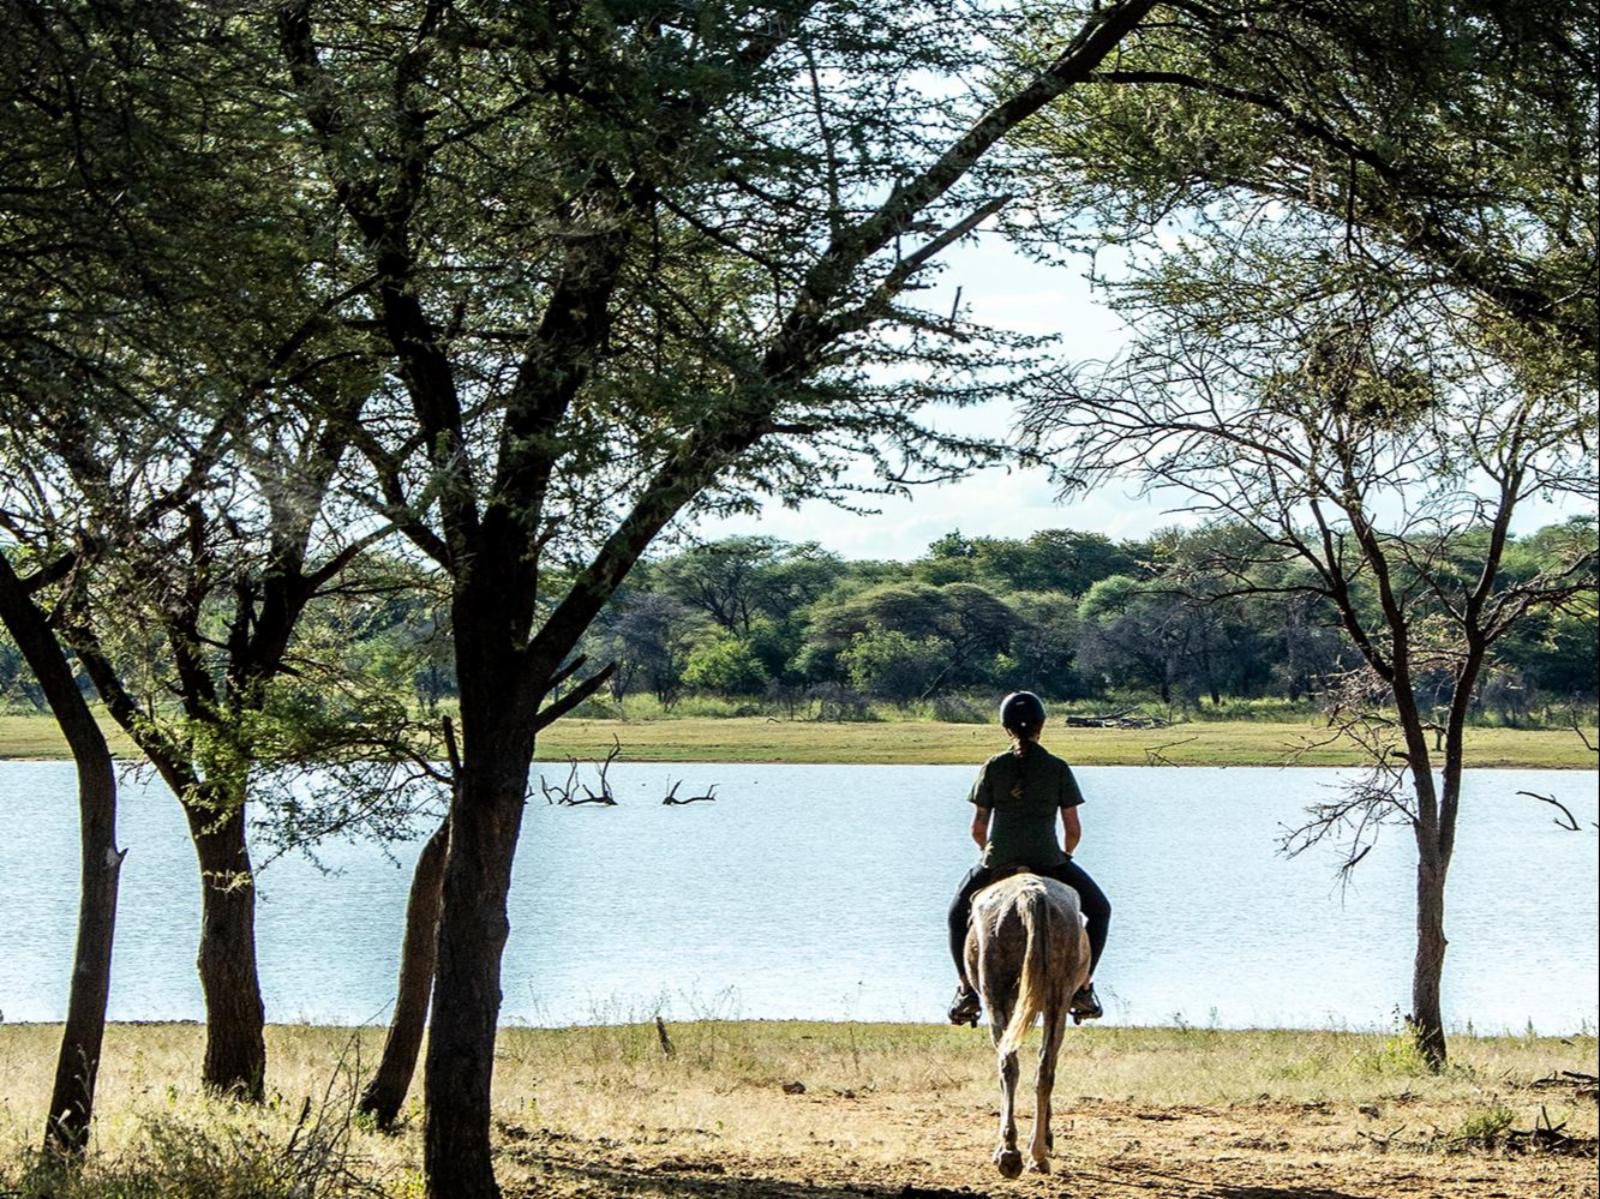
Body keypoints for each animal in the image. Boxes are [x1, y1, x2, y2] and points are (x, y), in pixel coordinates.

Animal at [960, 864, 1088, 1171]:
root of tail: (1030, 895)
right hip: (1056, 1000)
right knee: (1044, 1069)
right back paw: (1036, 1155)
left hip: (995, 996)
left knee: (1008, 1065)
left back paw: (1008, 1152)